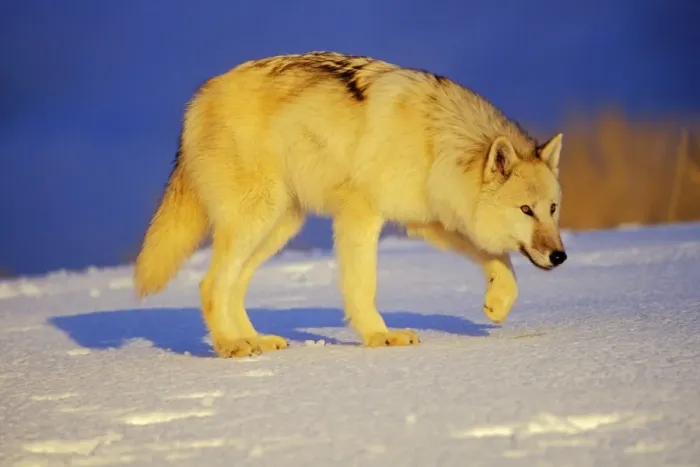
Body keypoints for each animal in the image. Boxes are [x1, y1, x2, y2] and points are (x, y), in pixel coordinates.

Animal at [133, 51, 567, 358]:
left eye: (552, 209)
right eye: (526, 210)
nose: (560, 256)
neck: (436, 139)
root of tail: (198, 98)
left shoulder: (427, 219)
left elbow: (498, 259)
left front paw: (498, 303)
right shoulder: (362, 214)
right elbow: (363, 285)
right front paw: (380, 335)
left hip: (279, 226)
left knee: (234, 286)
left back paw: (256, 340)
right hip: (256, 217)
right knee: (210, 285)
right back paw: (230, 345)